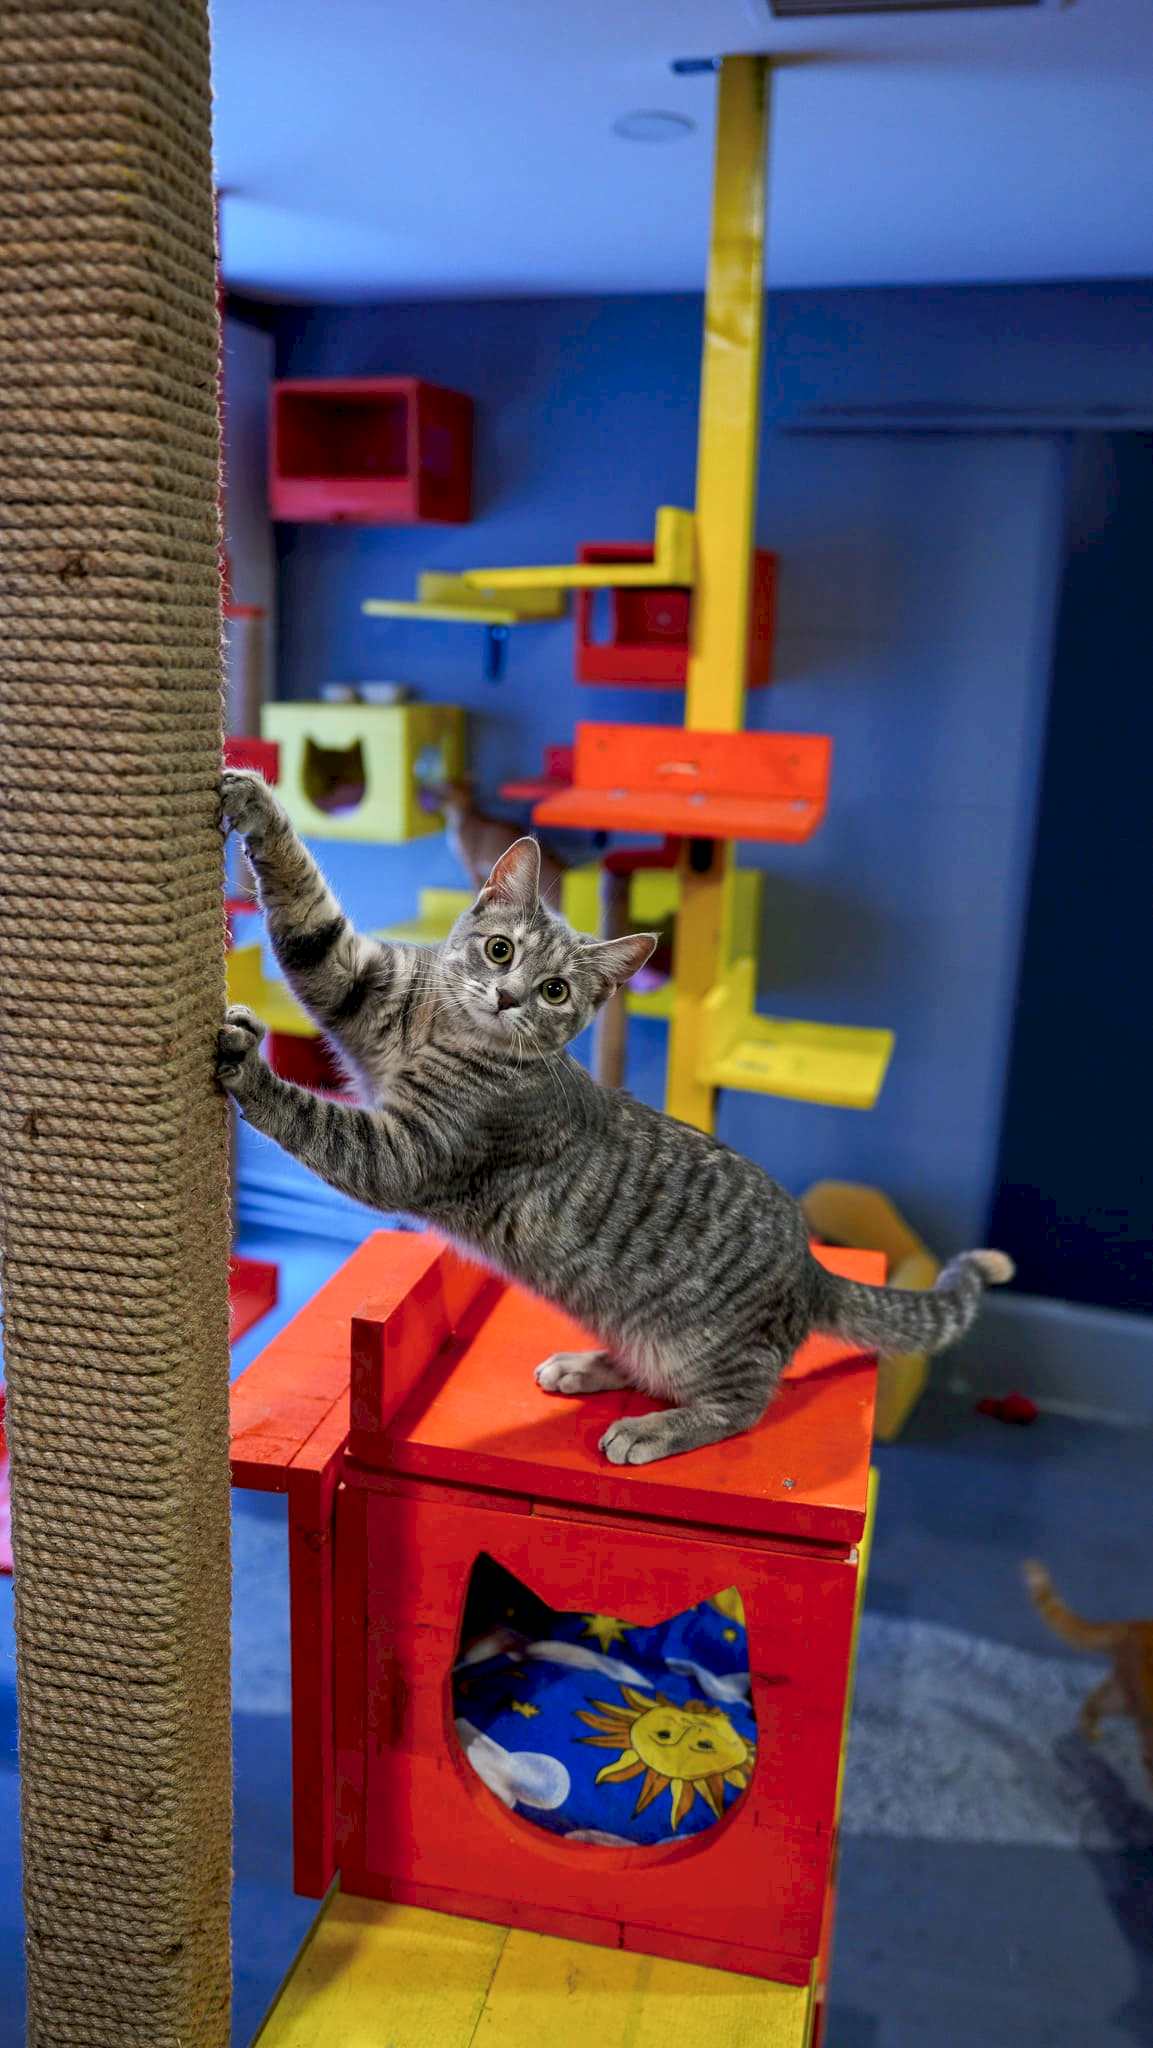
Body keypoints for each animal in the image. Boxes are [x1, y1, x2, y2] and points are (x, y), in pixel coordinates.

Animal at [217, 766, 1013, 1467]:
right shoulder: (355, 981)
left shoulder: (408, 1152)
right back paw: (586, 1366)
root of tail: (811, 1268)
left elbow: (315, 1120)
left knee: (742, 1405)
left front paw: (249, 1068)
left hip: (703, 1350)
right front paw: (257, 804)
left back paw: (653, 1428)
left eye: (556, 991)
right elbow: (308, 913)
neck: (445, 1031)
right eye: (498, 949)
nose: (508, 997)